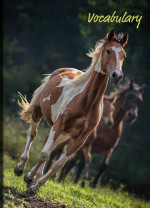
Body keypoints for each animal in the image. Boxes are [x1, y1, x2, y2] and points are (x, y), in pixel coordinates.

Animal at [13, 28, 127, 195]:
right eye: (108, 51)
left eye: (123, 55)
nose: (117, 76)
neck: (86, 103)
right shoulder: (59, 125)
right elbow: (44, 154)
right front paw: (28, 178)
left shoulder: (79, 139)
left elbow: (58, 164)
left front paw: (34, 186)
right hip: (38, 112)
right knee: (32, 135)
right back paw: (20, 168)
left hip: (64, 134)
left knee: (50, 146)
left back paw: (32, 176)